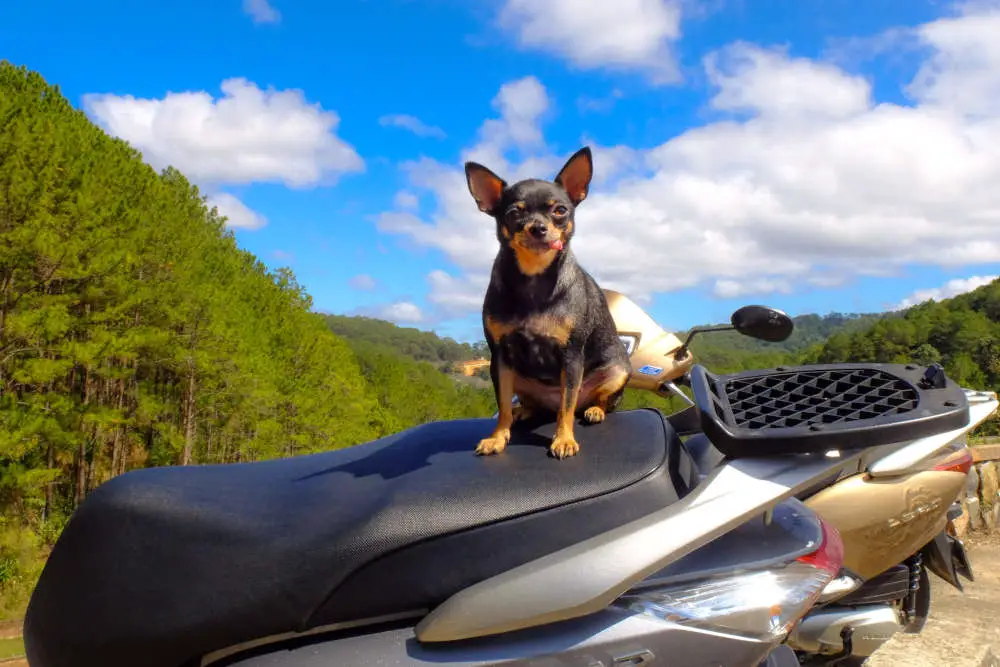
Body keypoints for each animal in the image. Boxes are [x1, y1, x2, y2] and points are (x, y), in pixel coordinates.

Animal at [462, 145, 632, 460]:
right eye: (514, 213)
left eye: (560, 211)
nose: (538, 227)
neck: (533, 278)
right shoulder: (500, 357)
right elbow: (502, 404)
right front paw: (498, 437)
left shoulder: (571, 356)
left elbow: (566, 407)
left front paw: (563, 439)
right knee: (533, 405)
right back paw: (522, 412)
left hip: (618, 371)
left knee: (584, 403)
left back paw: (593, 410)